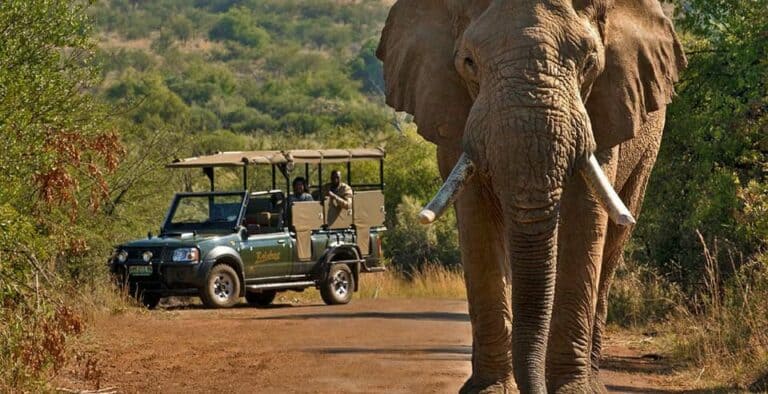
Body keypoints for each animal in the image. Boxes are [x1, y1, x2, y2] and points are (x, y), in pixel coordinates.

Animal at [376, 0, 684, 392]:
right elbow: (477, 219)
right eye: (469, 62)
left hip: (647, 152)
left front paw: (572, 390)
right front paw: (490, 390)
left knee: (615, 238)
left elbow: (585, 217)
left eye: (589, 64)